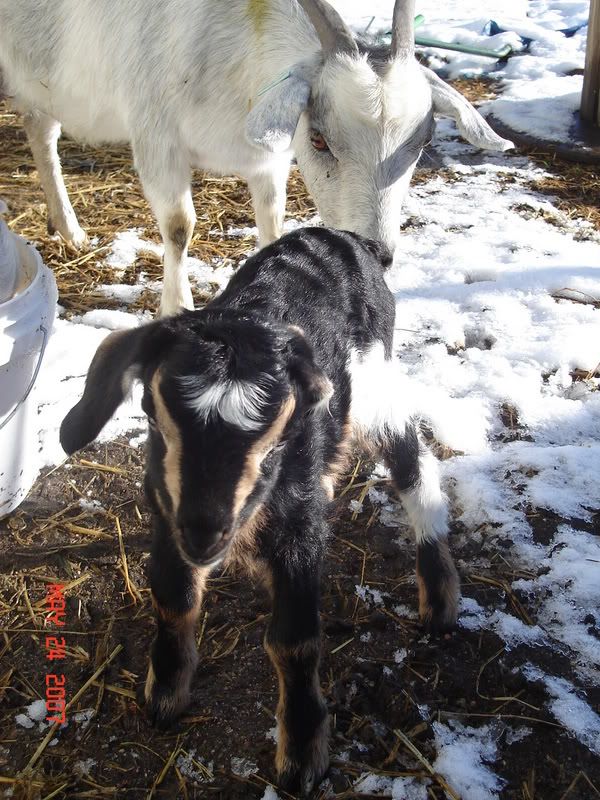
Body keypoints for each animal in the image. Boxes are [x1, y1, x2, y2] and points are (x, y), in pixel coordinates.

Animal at [0, 0, 512, 315]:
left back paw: (66, 227)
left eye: (422, 143)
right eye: (319, 139)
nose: (378, 252)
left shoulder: (269, 158)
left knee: (39, 128)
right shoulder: (155, 134)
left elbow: (272, 219)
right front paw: (176, 305)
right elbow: (179, 225)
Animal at [60, 226, 460, 794]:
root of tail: (347, 238)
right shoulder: (165, 507)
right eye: (154, 423)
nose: (205, 535)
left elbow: (294, 640)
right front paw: (165, 690)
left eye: (273, 445)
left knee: (415, 464)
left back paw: (439, 592)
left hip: (376, 382)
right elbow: (173, 597)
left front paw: (302, 753)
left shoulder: (297, 529)